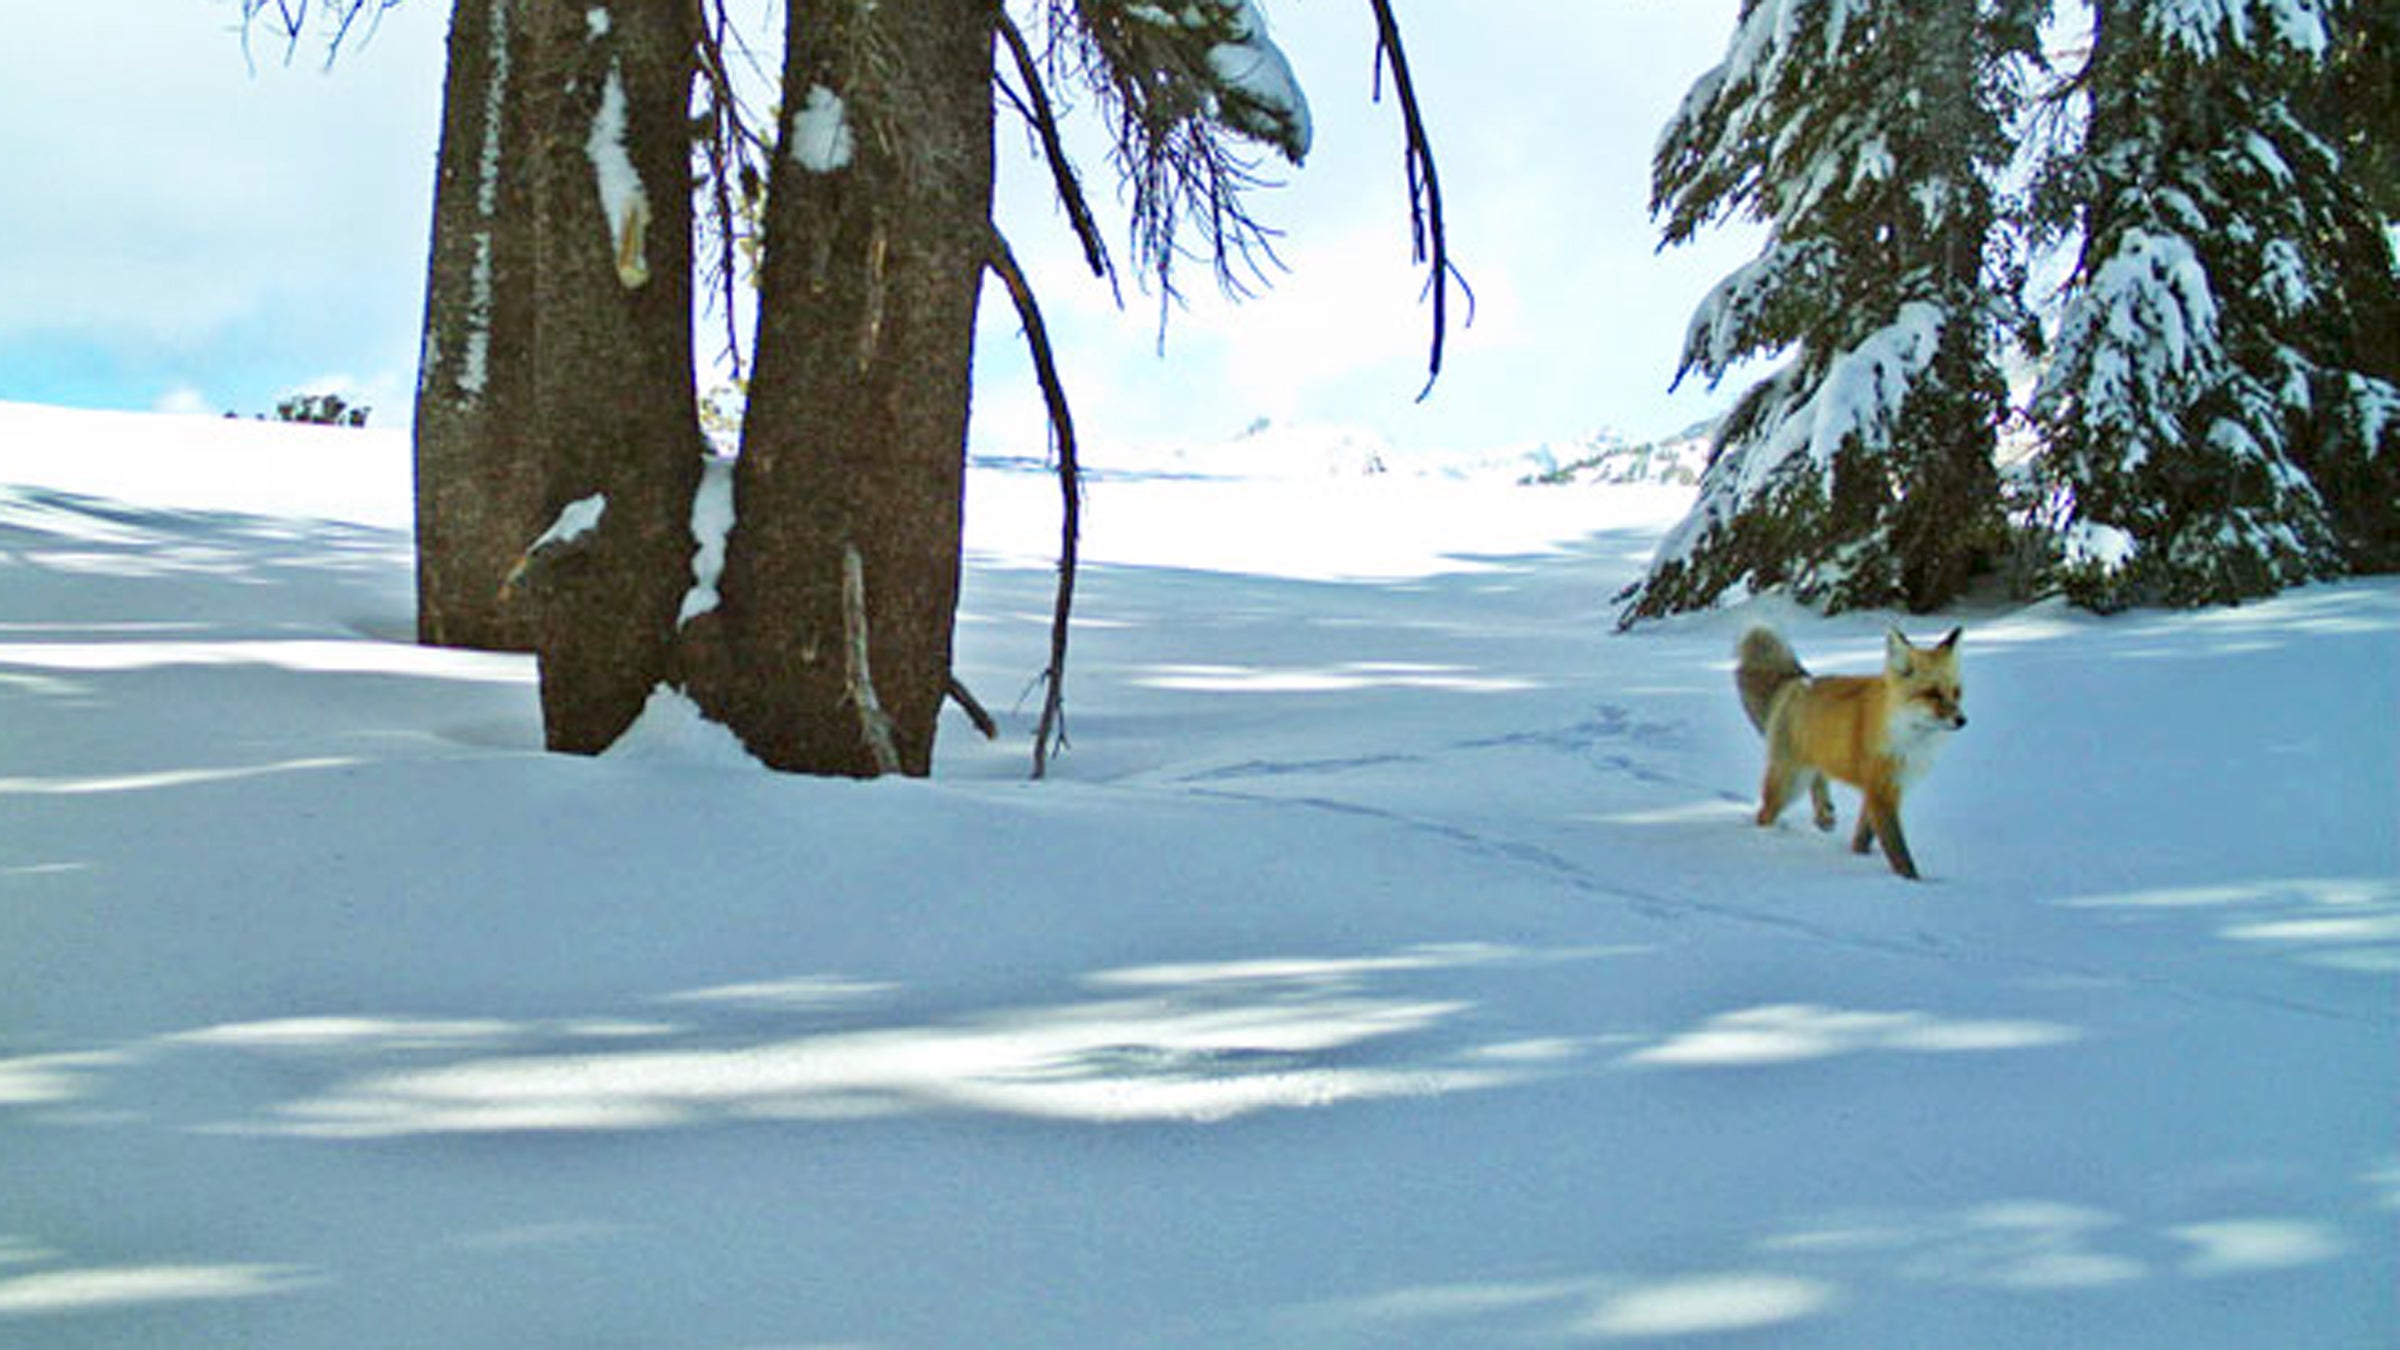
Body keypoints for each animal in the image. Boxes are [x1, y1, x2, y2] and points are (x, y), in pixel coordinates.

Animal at [1747, 624, 1968, 879]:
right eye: (1932, 693)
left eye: (1956, 692)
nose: (1962, 720)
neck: (1907, 739)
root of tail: (1799, 681)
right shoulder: (1881, 792)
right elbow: (1899, 852)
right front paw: (1912, 881)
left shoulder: (1884, 788)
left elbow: (1863, 838)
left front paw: (1858, 858)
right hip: (1790, 782)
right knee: (1764, 813)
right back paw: (1767, 839)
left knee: (1818, 778)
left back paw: (1824, 815)